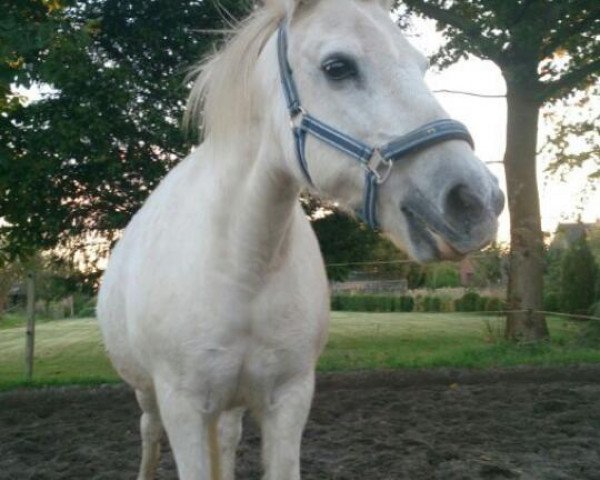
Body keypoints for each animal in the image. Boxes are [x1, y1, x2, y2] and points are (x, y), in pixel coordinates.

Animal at [96, 0, 504, 480]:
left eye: (420, 67)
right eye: (337, 67)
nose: (478, 201)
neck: (241, 266)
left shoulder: (289, 399)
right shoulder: (183, 407)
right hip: (147, 391)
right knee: (148, 430)